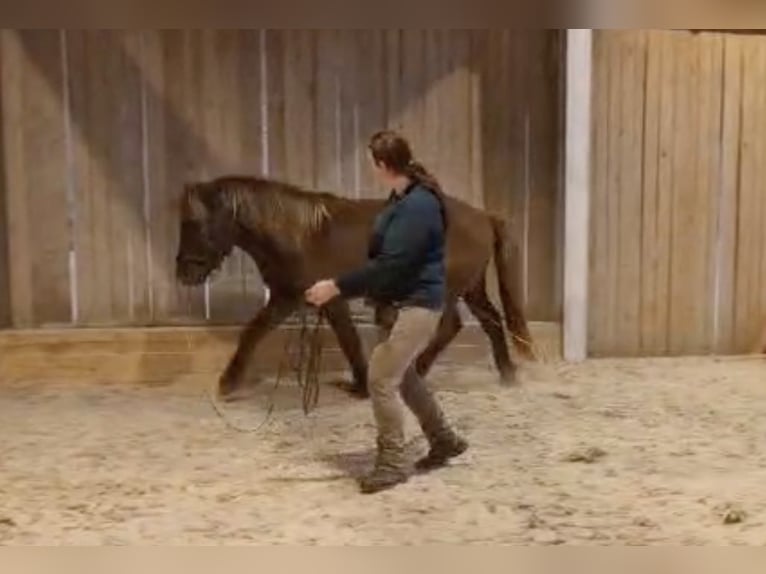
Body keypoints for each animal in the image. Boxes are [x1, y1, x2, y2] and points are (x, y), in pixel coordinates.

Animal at [175, 175, 534, 400]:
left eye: (194, 223)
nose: (183, 272)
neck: (297, 233)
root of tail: (484, 216)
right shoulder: (307, 299)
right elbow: (343, 338)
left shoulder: (297, 298)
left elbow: (255, 332)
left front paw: (227, 383)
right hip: (470, 287)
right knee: (490, 321)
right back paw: (508, 375)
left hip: (447, 290)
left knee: (451, 326)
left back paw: (419, 370)